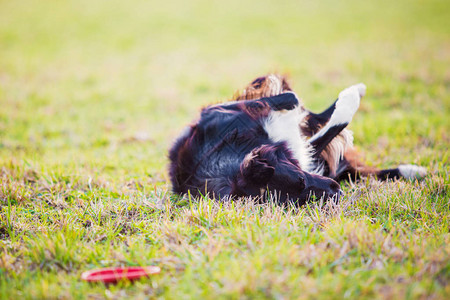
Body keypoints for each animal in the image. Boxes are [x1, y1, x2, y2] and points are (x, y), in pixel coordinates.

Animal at [168, 74, 426, 205]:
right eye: (297, 200)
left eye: (302, 180)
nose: (338, 194)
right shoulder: (303, 154)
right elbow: (334, 126)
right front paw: (350, 99)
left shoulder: (222, 112)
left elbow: (291, 99)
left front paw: (353, 93)